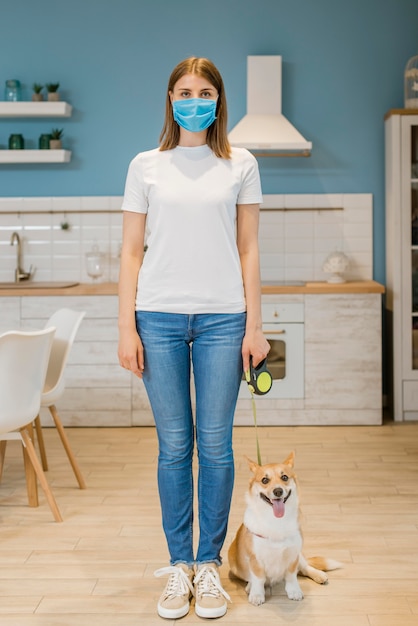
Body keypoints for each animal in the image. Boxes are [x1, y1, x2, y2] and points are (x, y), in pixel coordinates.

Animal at [227, 450, 342, 604]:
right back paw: (250, 586)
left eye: (284, 477)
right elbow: (258, 578)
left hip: (300, 555)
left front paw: (294, 591)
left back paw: (319, 575)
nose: (278, 491)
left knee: (304, 567)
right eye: (265, 480)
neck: (276, 521)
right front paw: (257, 594)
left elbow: (292, 576)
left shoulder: (293, 555)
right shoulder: (255, 559)